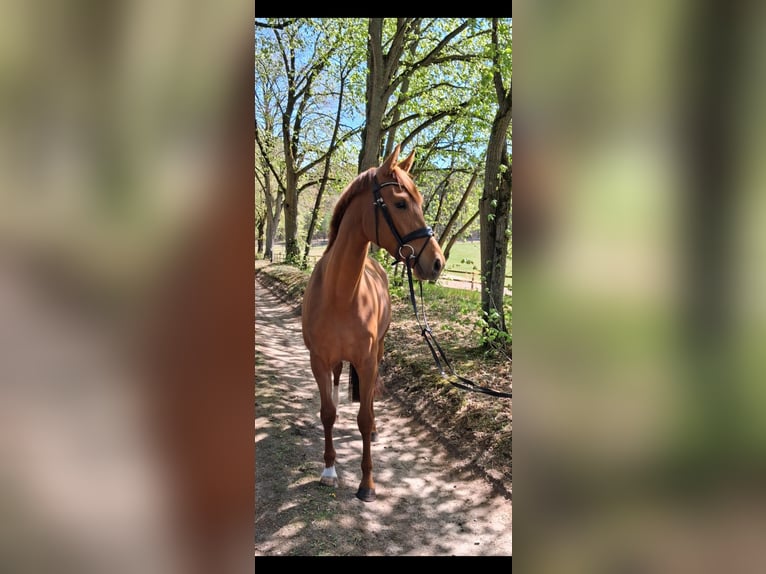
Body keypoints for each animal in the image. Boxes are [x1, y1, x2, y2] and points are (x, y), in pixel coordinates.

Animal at [301, 144, 445, 502]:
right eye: (401, 203)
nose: (437, 262)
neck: (340, 293)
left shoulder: (366, 361)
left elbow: (364, 418)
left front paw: (367, 483)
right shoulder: (318, 360)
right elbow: (327, 412)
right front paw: (329, 470)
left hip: (377, 351)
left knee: (369, 402)